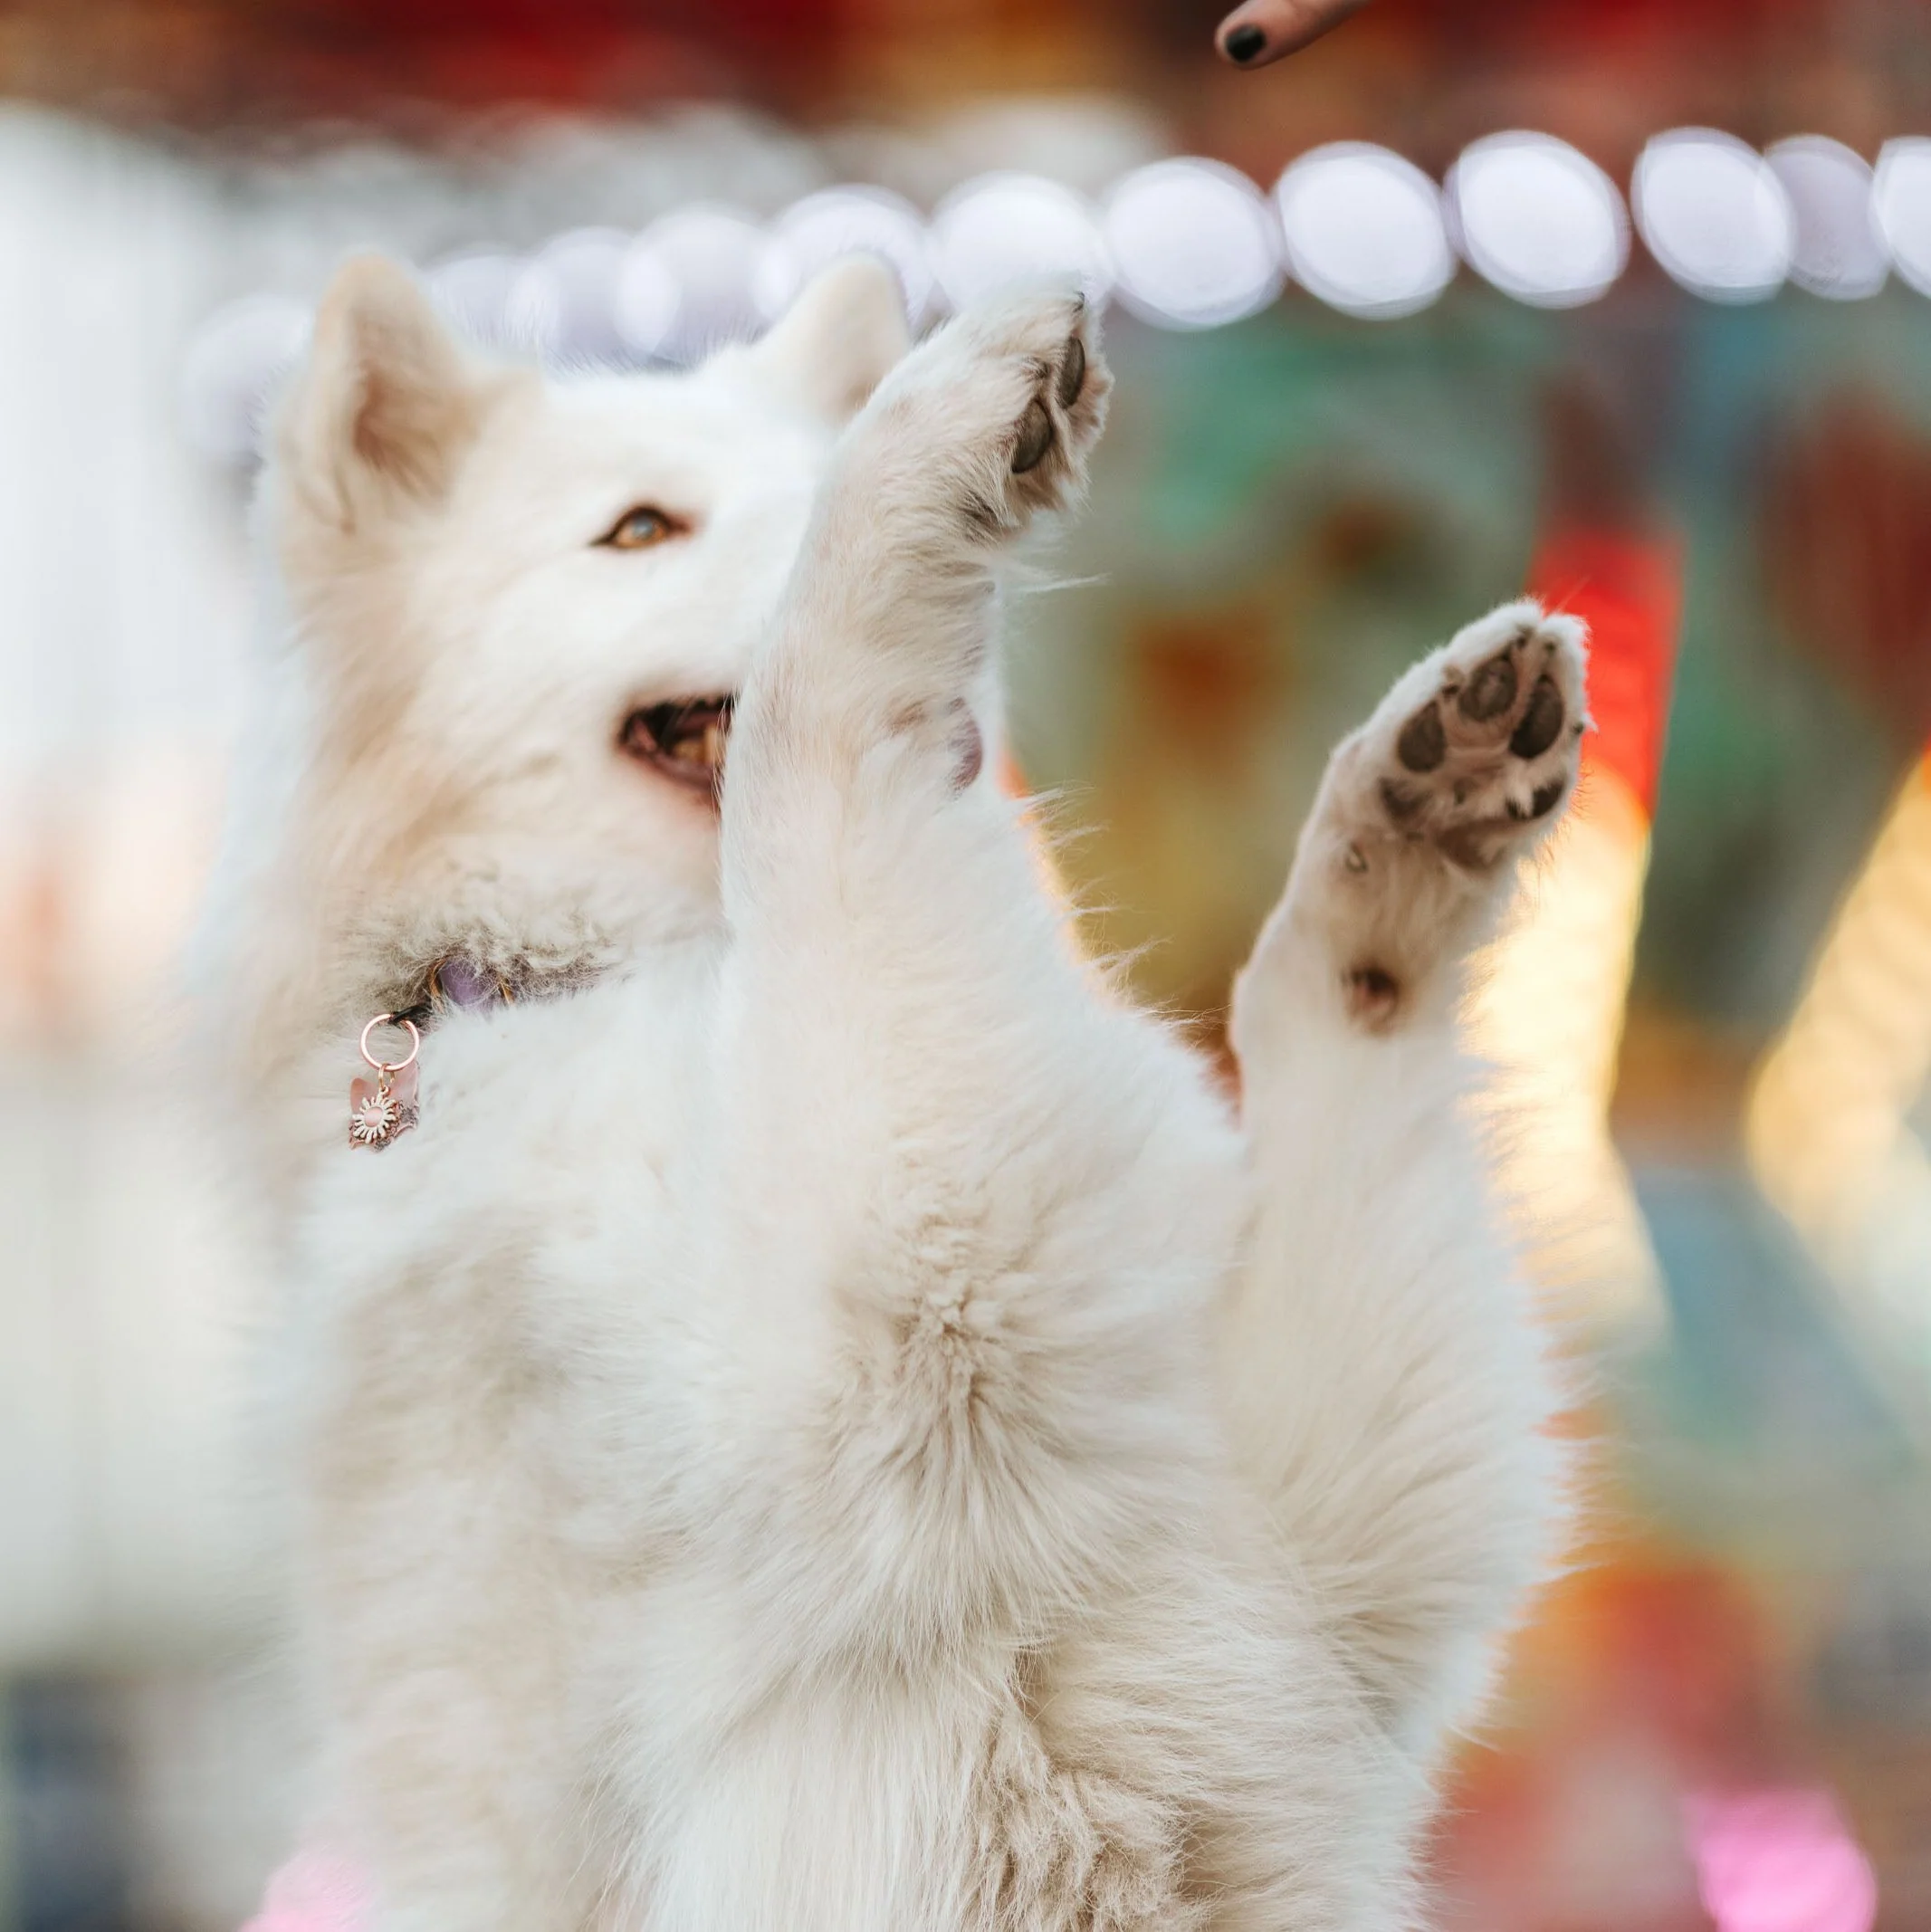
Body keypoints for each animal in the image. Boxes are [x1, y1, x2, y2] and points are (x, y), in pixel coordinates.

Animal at [213, 250, 1578, 1931]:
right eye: (639, 529)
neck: (611, 975)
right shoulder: (900, 1351)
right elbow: (808, 747)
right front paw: (939, 427)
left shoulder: (1327, 1558)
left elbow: (1333, 1043)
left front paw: (1404, 836)